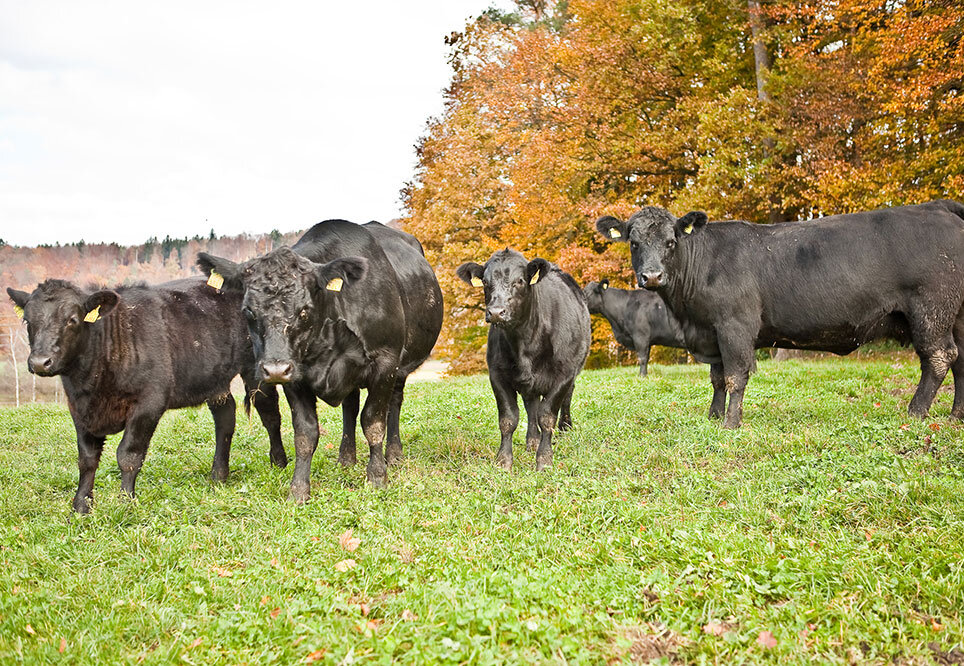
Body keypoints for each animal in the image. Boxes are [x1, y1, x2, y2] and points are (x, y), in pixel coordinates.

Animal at [6, 278, 286, 510]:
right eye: (28, 321)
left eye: (72, 319)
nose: (41, 362)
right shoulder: (80, 410)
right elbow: (86, 459)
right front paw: (81, 506)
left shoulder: (149, 404)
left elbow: (128, 455)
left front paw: (125, 502)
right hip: (214, 379)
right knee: (225, 419)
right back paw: (218, 475)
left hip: (257, 369)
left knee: (270, 414)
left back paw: (279, 462)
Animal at [197, 220, 444, 496]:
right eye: (248, 310)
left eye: (304, 310)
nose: (274, 369)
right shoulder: (295, 375)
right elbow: (305, 433)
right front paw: (298, 489)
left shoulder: (385, 362)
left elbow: (373, 422)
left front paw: (377, 477)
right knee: (350, 407)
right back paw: (346, 458)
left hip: (401, 367)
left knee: (394, 403)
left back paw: (394, 454)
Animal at [458, 246, 592, 470]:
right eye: (485, 282)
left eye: (520, 280)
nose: (496, 312)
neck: (524, 343)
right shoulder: (497, 375)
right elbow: (509, 419)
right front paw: (503, 461)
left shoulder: (563, 374)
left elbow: (547, 417)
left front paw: (544, 460)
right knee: (531, 407)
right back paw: (532, 441)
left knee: (566, 397)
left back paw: (565, 428)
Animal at [600, 197, 964, 428]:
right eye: (633, 242)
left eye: (671, 241)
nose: (652, 276)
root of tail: (938, 206)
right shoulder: (712, 331)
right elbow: (717, 378)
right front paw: (713, 417)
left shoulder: (735, 326)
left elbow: (735, 376)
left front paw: (730, 424)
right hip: (957, 314)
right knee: (961, 360)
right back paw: (956, 415)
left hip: (931, 309)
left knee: (940, 357)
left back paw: (915, 413)